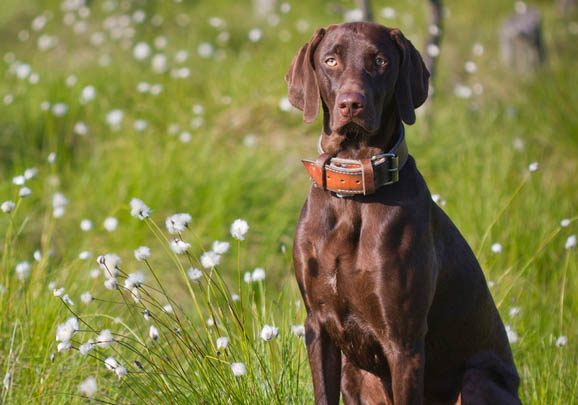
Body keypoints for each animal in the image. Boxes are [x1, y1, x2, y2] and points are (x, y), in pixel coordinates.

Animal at [286, 22, 520, 404]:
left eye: (380, 61)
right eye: (330, 60)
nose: (351, 104)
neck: (354, 194)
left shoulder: (404, 341)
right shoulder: (317, 327)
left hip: (478, 381)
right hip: (353, 374)